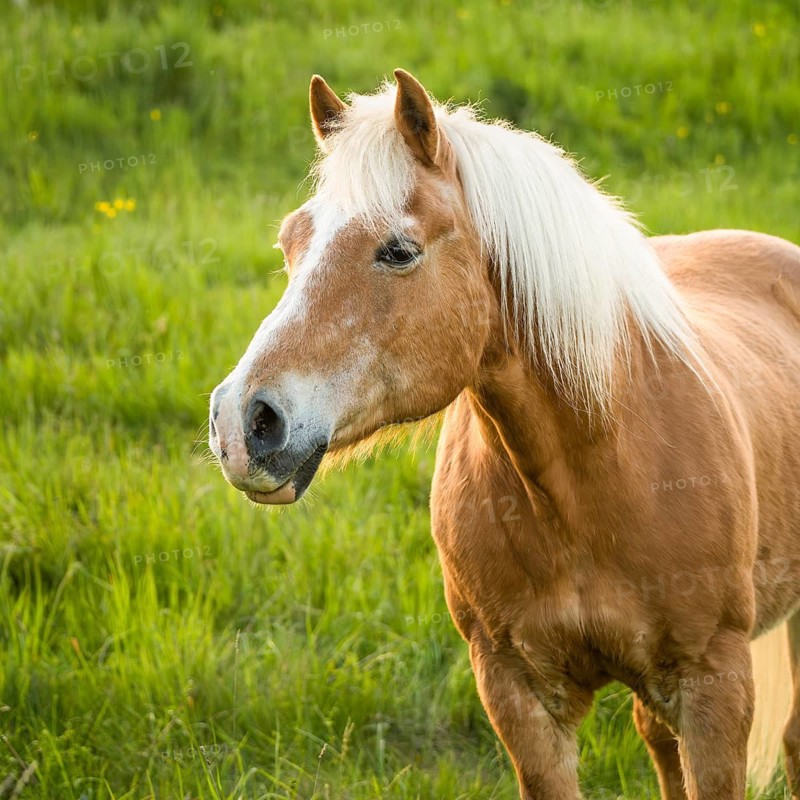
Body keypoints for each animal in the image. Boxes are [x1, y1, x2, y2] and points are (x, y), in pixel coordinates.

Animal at [208, 69, 800, 799]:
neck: (597, 474)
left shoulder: (714, 690)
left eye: (398, 251)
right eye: (291, 243)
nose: (243, 424)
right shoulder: (518, 694)